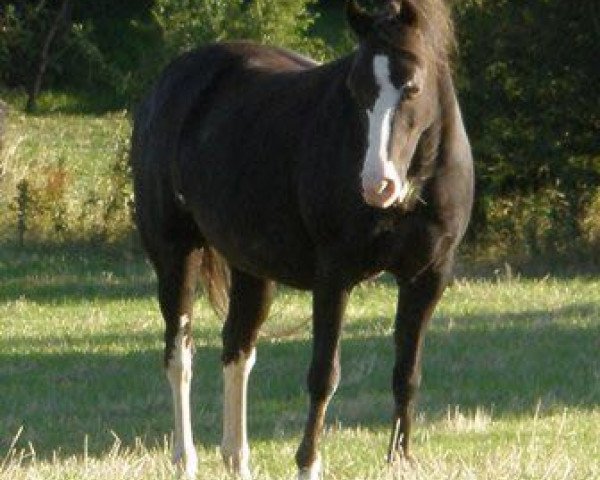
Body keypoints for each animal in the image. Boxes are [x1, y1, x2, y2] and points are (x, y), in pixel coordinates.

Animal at [131, 0, 474, 478]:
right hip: (175, 253)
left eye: (412, 86)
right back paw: (186, 458)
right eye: (356, 89)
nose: (377, 185)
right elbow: (323, 375)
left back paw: (237, 458)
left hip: (251, 268)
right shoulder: (334, 277)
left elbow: (407, 373)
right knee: (180, 356)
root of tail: (168, 82)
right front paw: (308, 463)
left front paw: (400, 460)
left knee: (237, 349)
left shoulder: (427, 278)